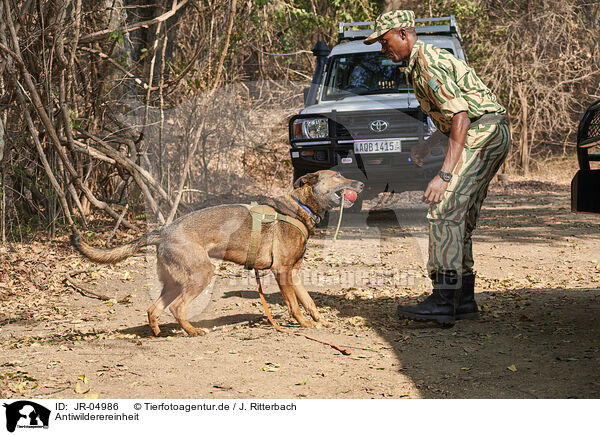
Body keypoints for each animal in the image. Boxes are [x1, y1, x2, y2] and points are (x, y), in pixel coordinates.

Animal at [70, 170, 360, 338]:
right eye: (337, 176)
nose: (359, 182)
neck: (301, 207)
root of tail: (163, 232)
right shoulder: (283, 272)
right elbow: (295, 305)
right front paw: (304, 325)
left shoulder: (294, 273)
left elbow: (309, 302)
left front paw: (321, 321)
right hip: (201, 274)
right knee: (177, 307)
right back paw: (191, 330)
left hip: (175, 282)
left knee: (154, 309)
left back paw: (157, 332)